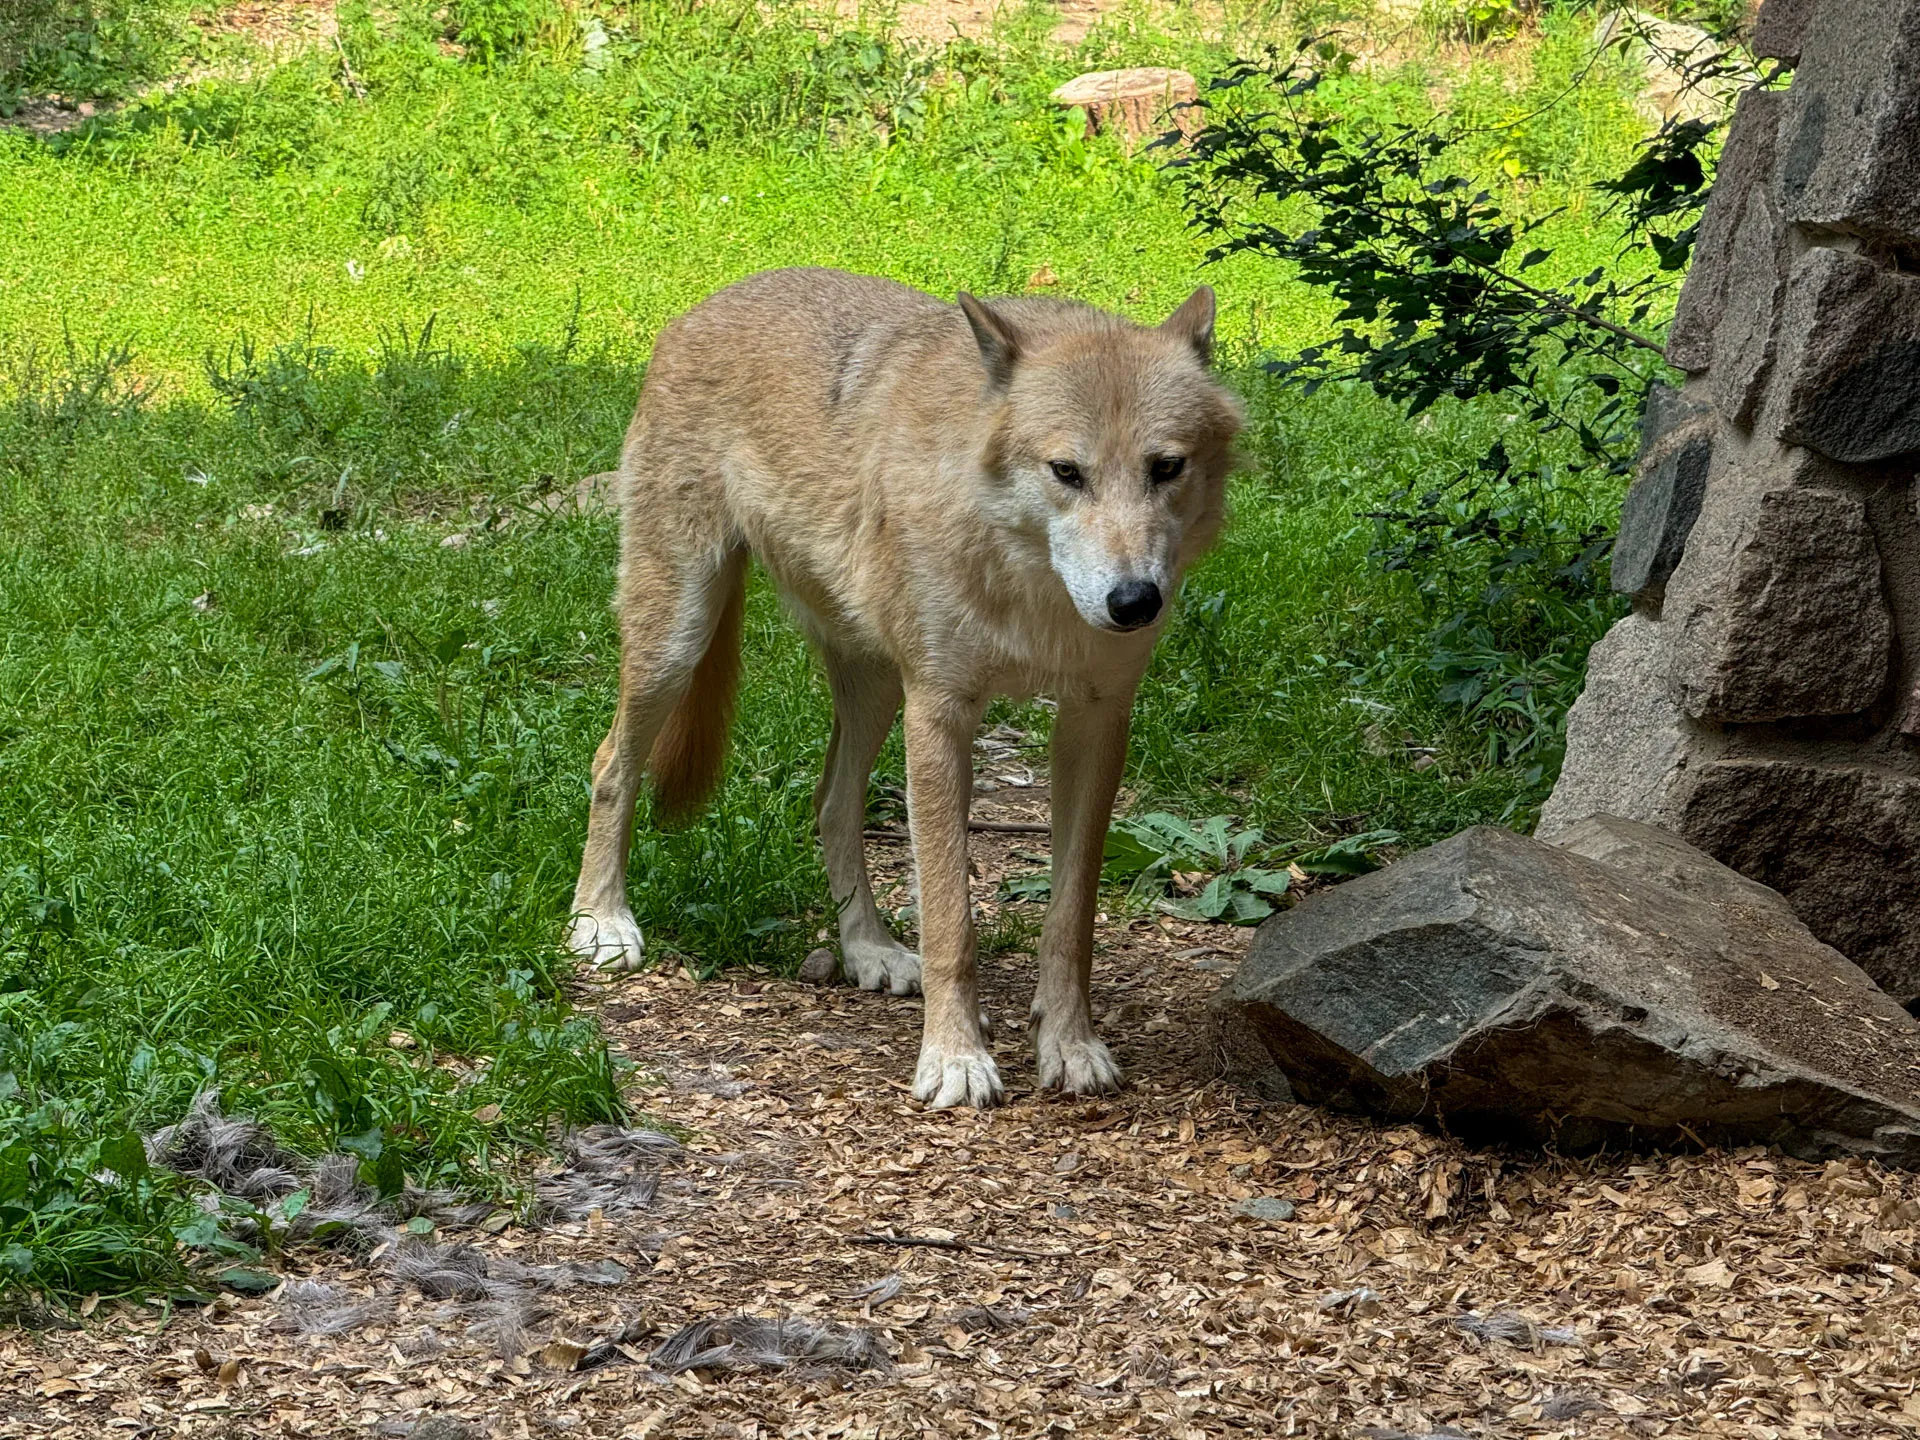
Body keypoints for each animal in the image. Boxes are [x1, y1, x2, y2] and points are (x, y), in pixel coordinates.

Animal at [567, 267, 1243, 1109]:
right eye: (1067, 472)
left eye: (1165, 468)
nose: (1134, 603)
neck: (1032, 590)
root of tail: (709, 301)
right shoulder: (941, 712)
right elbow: (952, 917)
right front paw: (955, 1061)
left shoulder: (1098, 717)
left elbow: (1070, 918)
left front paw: (1069, 1045)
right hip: (679, 640)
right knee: (610, 764)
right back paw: (601, 921)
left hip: (875, 685)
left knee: (831, 801)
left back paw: (869, 950)